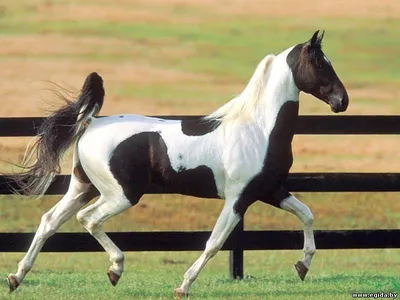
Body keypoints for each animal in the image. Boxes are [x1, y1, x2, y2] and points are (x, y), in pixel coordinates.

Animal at [6, 30, 348, 298]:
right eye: (320, 63)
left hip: (83, 187)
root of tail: (91, 122)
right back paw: (115, 269)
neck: (259, 128)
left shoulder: (270, 190)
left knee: (50, 221)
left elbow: (306, 215)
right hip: (120, 195)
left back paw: (16, 277)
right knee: (88, 219)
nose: (342, 101)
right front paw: (183, 286)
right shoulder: (239, 198)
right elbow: (215, 242)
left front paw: (302, 266)